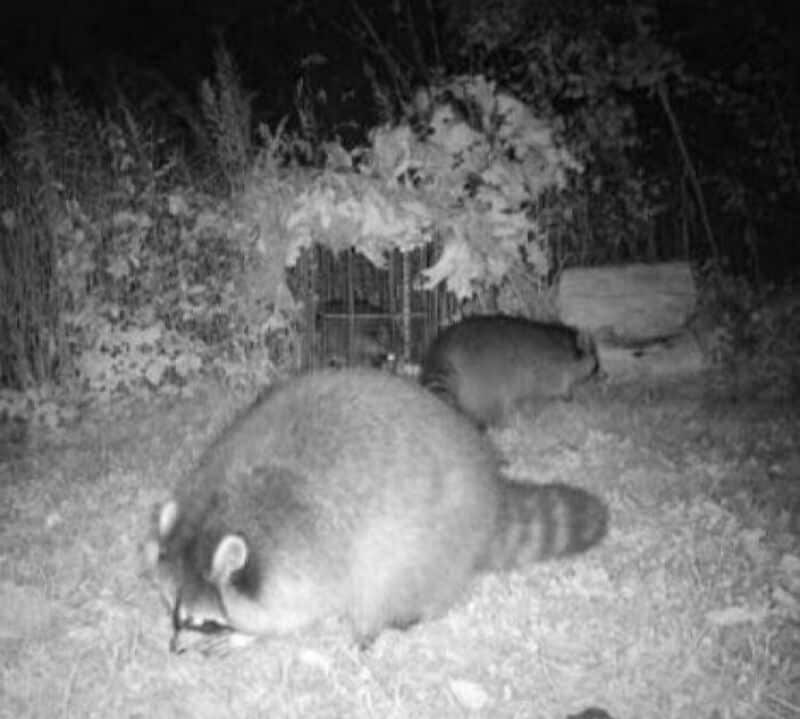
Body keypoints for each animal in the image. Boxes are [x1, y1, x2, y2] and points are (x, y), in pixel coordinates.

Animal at [144, 368, 607, 655]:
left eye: (202, 622)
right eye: (172, 612)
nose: (173, 648)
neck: (215, 513)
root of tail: (489, 490)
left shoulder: (305, 555)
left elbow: (299, 611)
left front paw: (250, 636)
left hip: (429, 535)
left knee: (386, 580)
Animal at [420, 315, 598, 428]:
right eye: (595, 360)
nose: (598, 371)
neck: (566, 346)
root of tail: (442, 350)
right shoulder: (546, 373)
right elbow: (549, 389)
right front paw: (566, 395)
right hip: (486, 382)